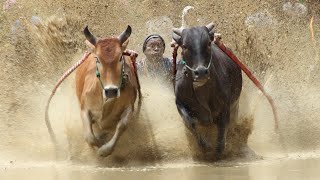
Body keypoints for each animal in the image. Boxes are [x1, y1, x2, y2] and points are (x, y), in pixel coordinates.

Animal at [76, 25, 140, 156]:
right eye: (97, 59)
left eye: (120, 57)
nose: (111, 91)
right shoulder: (84, 108)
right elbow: (90, 137)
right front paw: (98, 144)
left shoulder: (129, 106)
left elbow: (122, 125)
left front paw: (104, 150)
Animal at [172, 22, 242, 159]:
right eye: (184, 46)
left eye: (208, 43)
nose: (201, 72)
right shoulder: (179, 102)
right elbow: (190, 122)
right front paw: (205, 147)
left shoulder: (225, 106)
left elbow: (223, 127)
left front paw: (219, 150)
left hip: (235, 105)